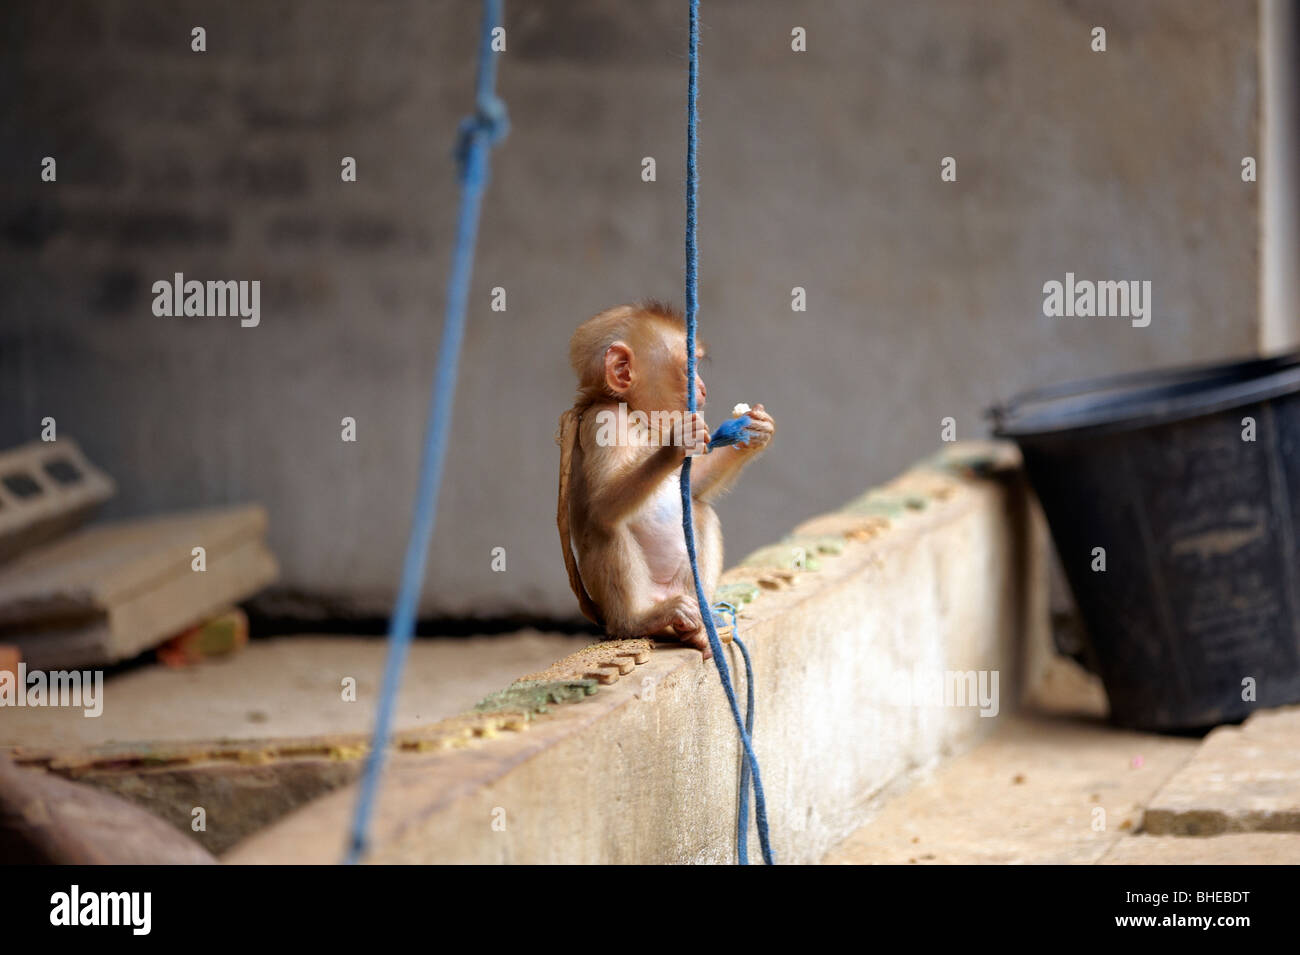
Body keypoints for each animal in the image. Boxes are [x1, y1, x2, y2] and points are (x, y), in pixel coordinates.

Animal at [556, 302, 769, 660]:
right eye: (688, 369)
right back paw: (639, 621)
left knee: (699, 511)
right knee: (607, 525)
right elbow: (603, 505)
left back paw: (700, 626)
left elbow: (694, 486)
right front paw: (678, 441)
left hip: (682, 588)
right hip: (626, 604)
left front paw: (755, 431)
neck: (637, 415)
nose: (703, 389)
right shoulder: (606, 420)